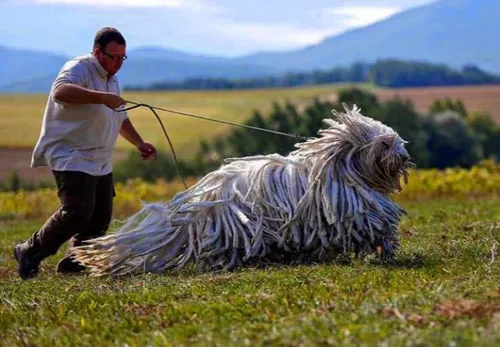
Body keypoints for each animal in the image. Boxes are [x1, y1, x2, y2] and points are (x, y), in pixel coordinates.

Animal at [73, 104, 410, 276]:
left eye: (396, 140)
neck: (341, 166)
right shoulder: (354, 211)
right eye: (384, 143)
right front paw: (385, 248)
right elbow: (376, 226)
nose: (405, 157)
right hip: (238, 227)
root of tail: (199, 201)